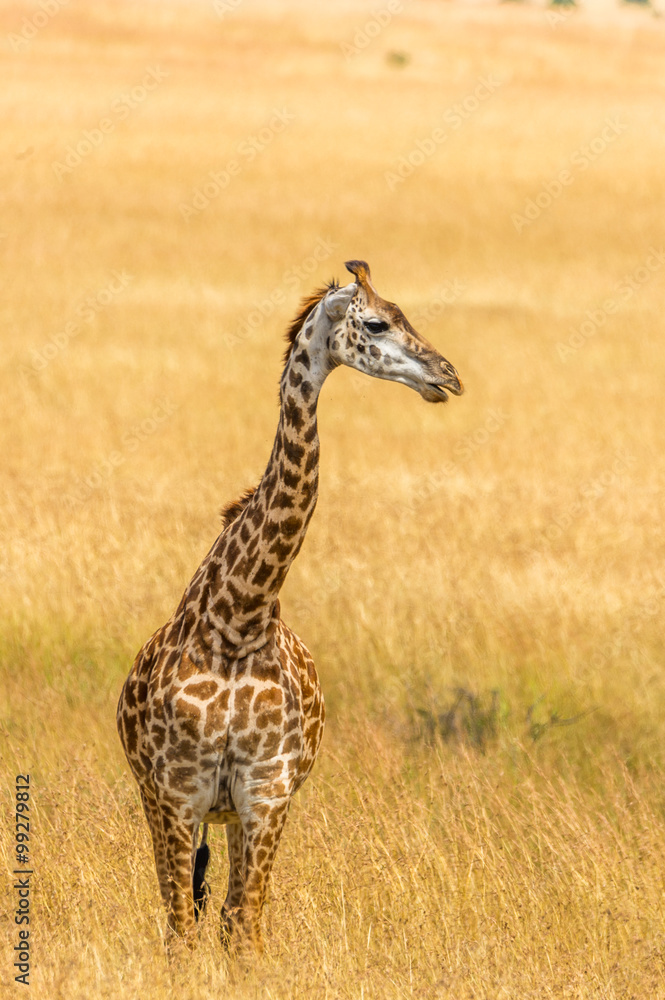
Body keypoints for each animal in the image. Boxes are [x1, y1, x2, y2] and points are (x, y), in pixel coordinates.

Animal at [116, 259, 463, 954]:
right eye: (377, 322)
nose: (447, 375)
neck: (239, 620)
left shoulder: (266, 795)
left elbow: (243, 929)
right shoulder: (175, 793)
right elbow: (182, 933)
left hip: (230, 814)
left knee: (225, 912)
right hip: (161, 803)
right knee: (180, 915)